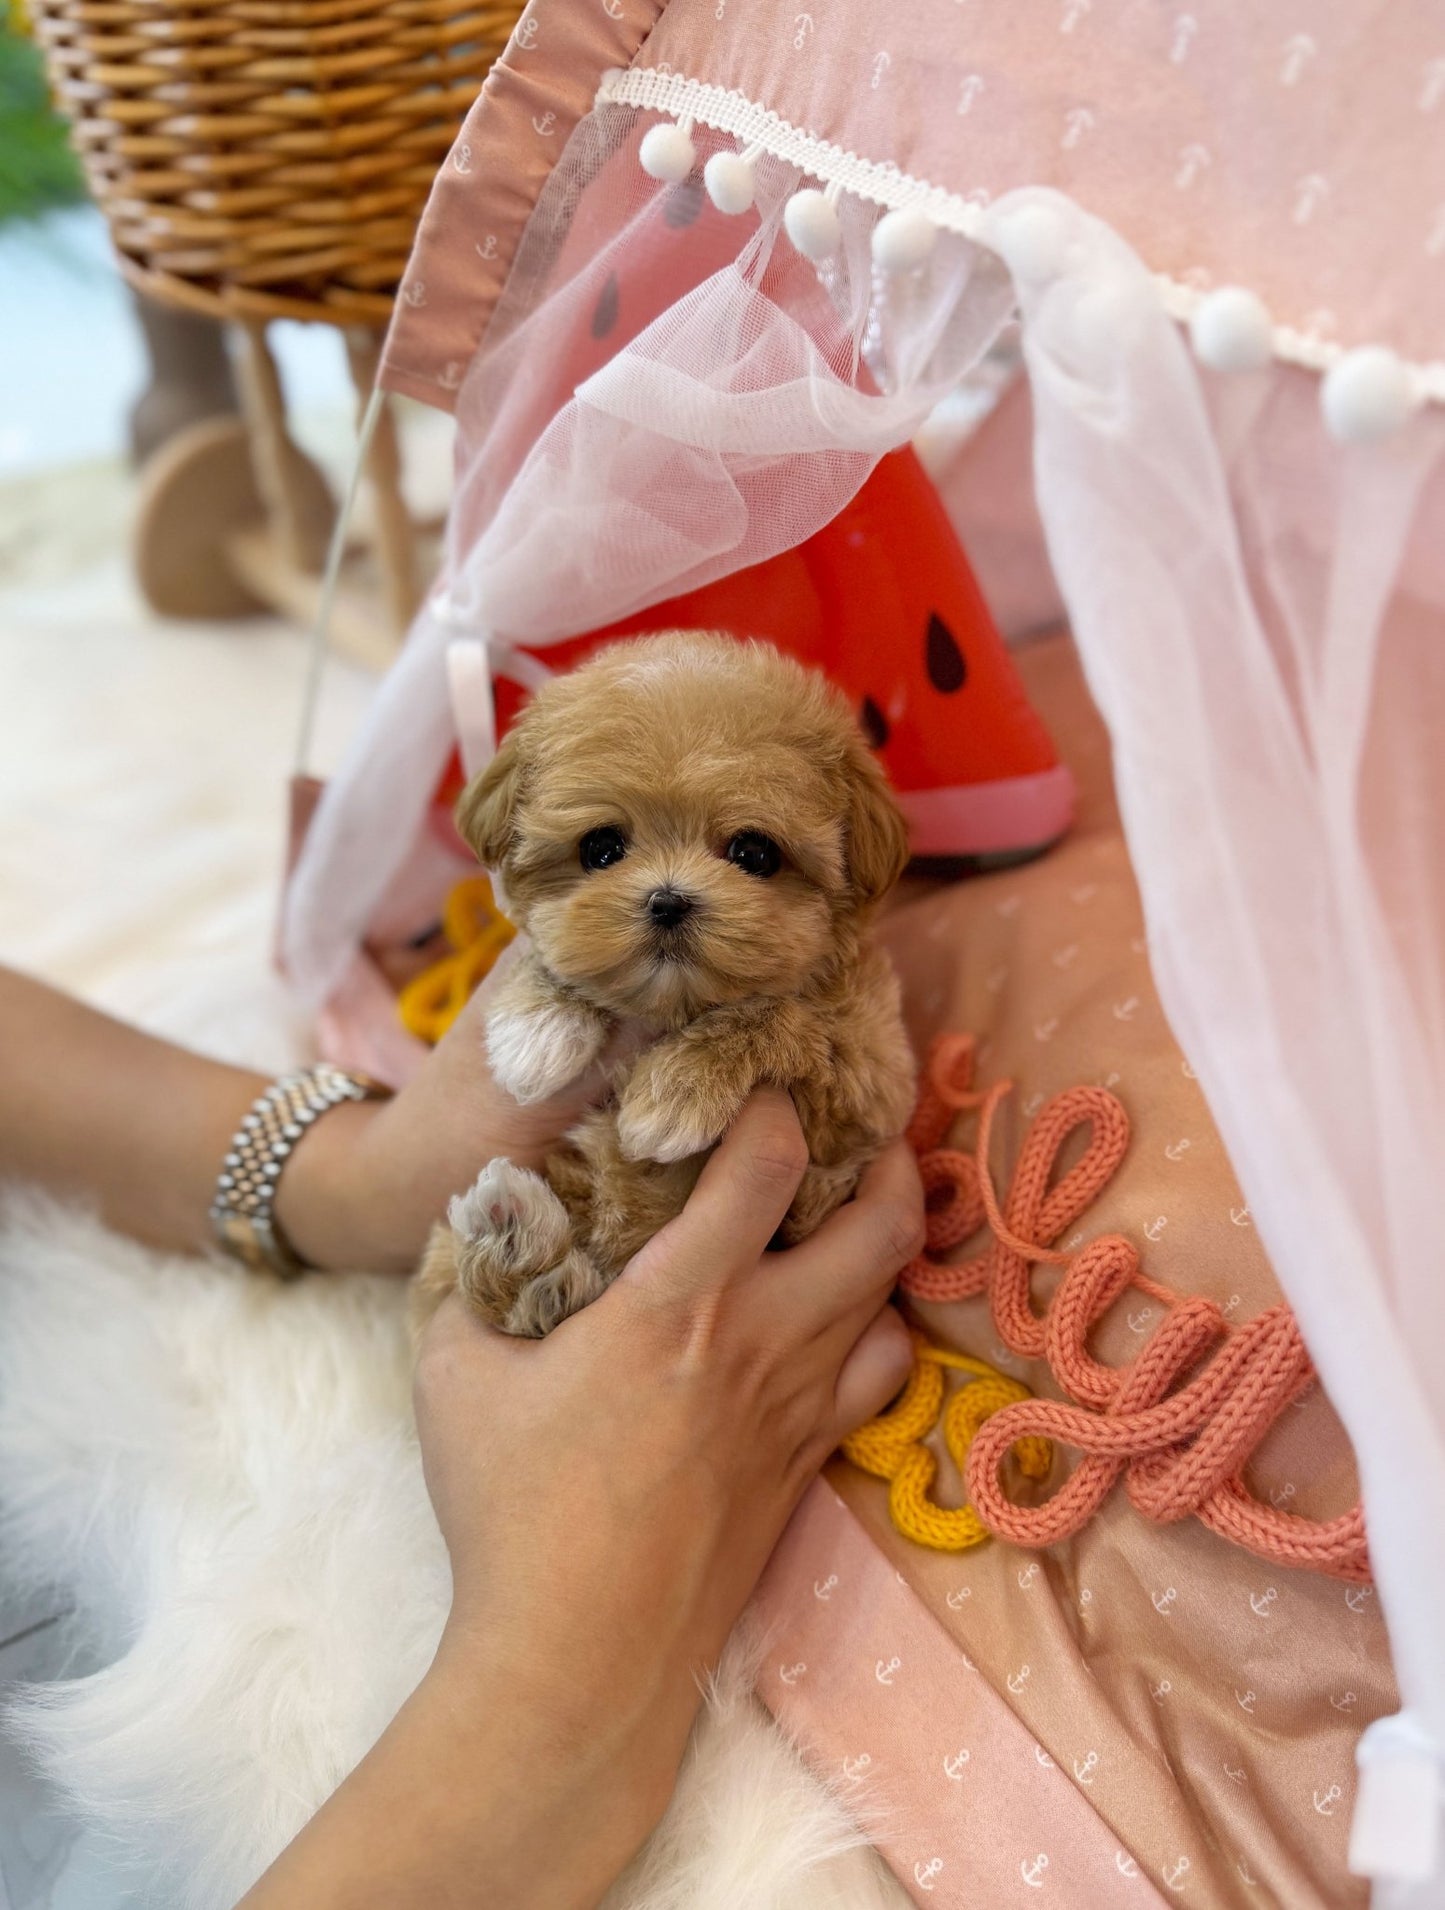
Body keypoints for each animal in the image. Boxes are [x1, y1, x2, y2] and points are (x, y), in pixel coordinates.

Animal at [414, 634, 912, 1337]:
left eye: (755, 854)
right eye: (600, 848)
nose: (668, 900)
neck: (677, 1006)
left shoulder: (871, 1081)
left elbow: (787, 1019)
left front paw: (674, 1094)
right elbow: (553, 954)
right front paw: (535, 1033)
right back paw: (511, 1241)